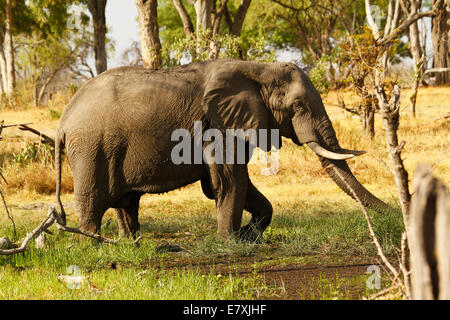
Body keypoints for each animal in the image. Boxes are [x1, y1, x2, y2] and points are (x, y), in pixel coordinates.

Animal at [54, 59, 388, 240]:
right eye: (298, 106)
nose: (394, 212)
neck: (258, 69)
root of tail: (63, 121)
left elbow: (235, 185)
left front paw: (248, 238)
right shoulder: (218, 125)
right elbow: (229, 181)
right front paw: (232, 241)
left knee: (125, 202)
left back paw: (130, 245)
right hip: (90, 148)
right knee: (92, 204)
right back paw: (96, 246)